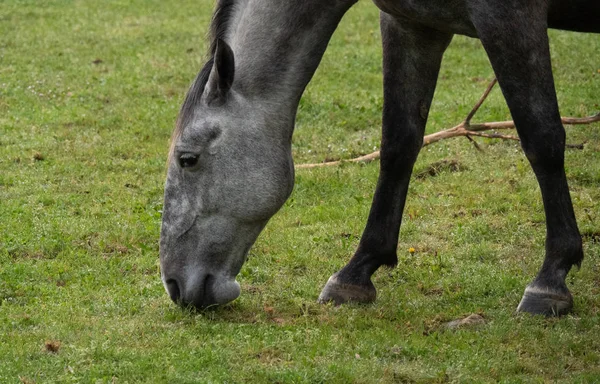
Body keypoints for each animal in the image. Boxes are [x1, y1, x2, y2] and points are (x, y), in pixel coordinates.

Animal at [159, 0, 600, 316]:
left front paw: (551, 279)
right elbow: (398, 147)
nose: (174, 285)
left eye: (187, 159)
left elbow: (542, 140)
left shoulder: (510, 18)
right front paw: (356, 272)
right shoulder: (412, 25)